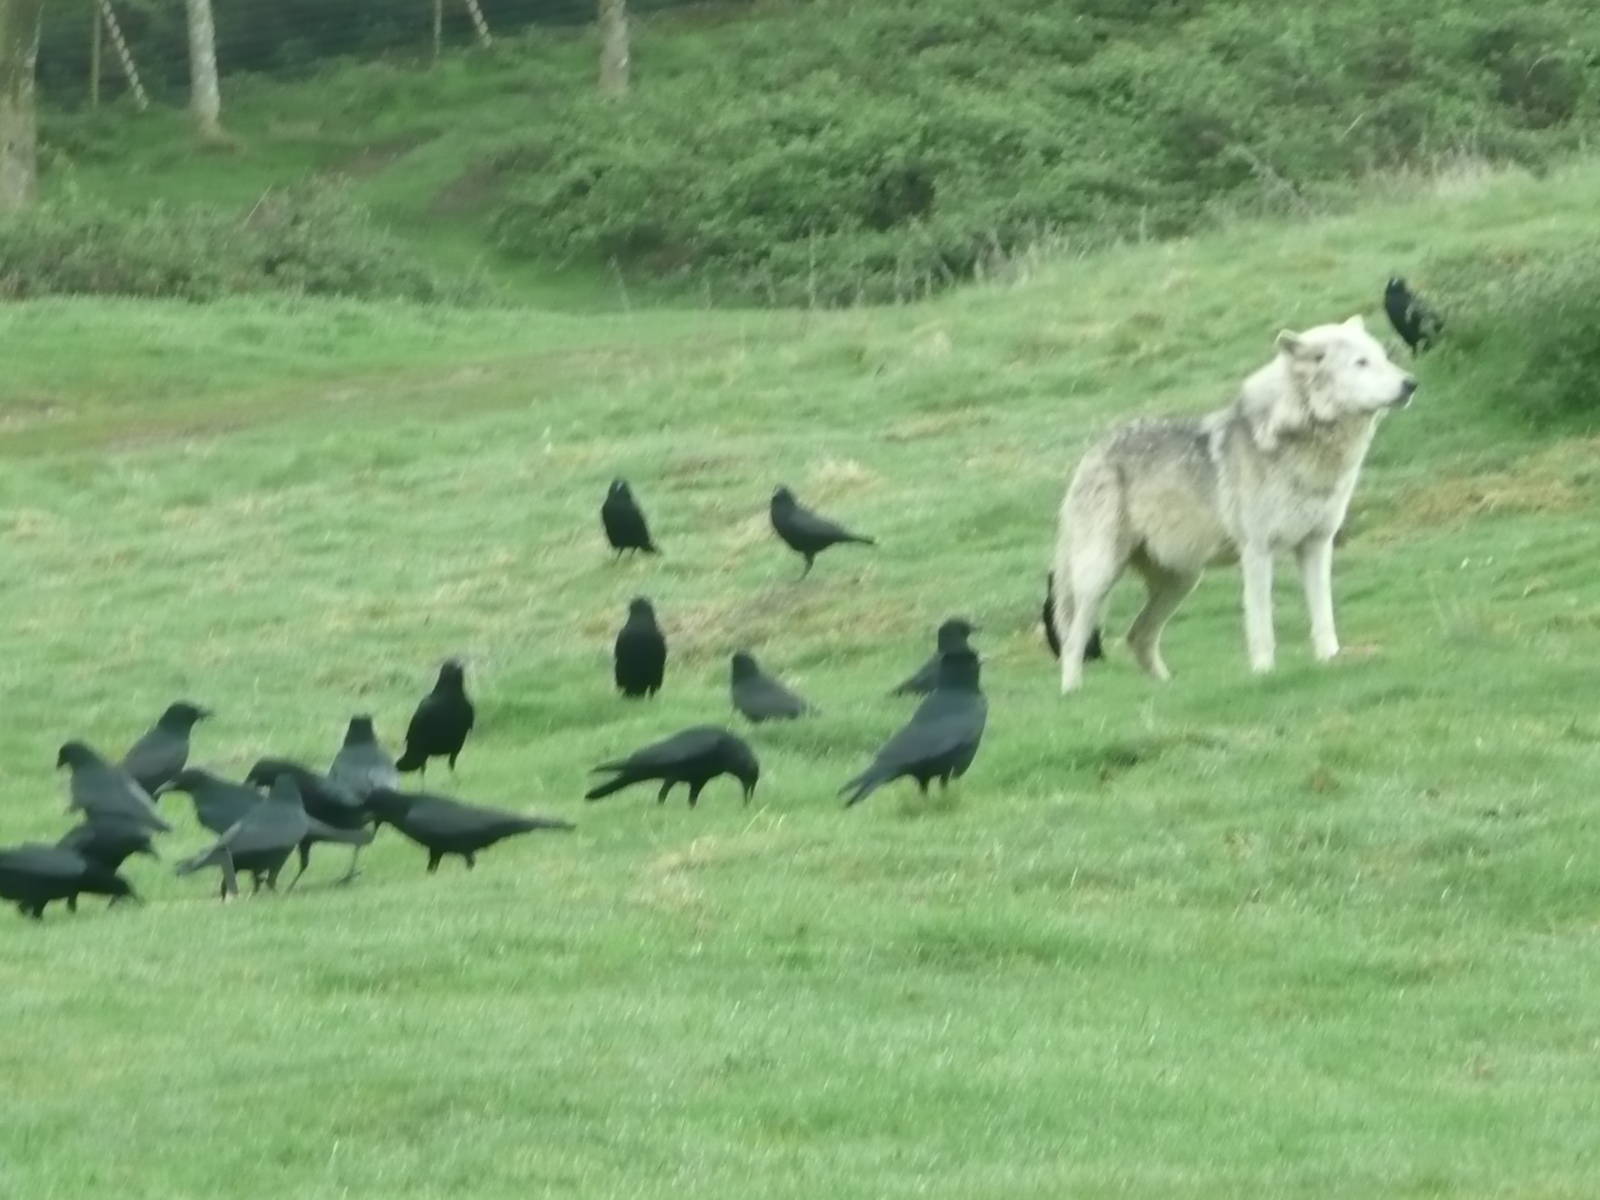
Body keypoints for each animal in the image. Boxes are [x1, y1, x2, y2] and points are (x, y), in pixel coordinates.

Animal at [1050, 315, 1415, 692]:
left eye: (1383, 357)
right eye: (1361, 363)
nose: (1411, 383)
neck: (1304, 439)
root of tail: (1092, 453)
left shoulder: (1316, 545)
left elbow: (1323, 615)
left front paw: (1331, 661)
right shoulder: (1257, 551)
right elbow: (1261, 624)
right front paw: (1265, 673)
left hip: (1182, 581)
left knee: (1138, 636)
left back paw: (1169, 689)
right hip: (1100, 578)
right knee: (1073, 639)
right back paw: (1072, 693)